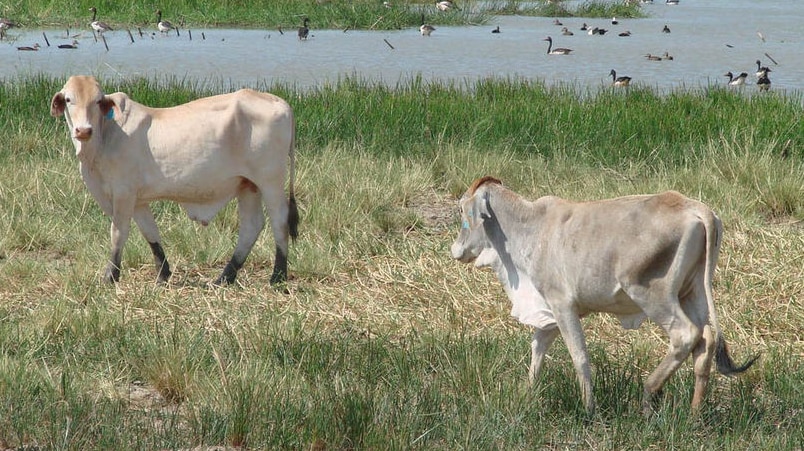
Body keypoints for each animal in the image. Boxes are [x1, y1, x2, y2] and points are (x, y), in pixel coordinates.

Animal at [51, 73, 300, 286]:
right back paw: (224, 277)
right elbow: (150, 232)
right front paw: (163, 274)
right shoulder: (137, 200)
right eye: (69, 99)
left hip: (270, 181)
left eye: (97, 101)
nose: (83, 130)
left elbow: (118, 233)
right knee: (251, 226)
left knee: (279, 221)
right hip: (248, 185)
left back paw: (277, 276)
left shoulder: (123, 194)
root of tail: (281, 102)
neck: (103, 139)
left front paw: (110, 276)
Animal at [452, 177, 760, 416]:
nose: (456, 250)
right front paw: (528, 395)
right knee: (705, 340)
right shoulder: (550, 312)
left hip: (653, 296)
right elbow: (538, 348)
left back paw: (648, 394)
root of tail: (696, 208)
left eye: (462, 209)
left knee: (686, 335)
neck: (530, 228)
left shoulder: (562, 304)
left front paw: (589, 408)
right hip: (692, 292)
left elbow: (579, 356)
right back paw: (695, 411)